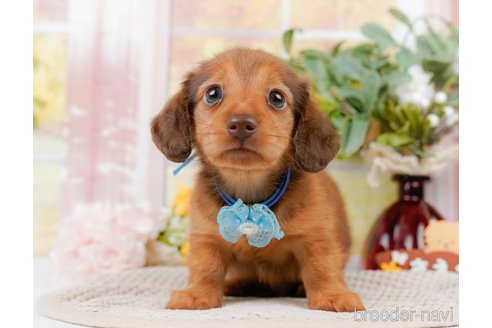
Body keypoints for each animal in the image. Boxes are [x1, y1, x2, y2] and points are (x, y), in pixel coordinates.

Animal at [152, 47, 364, 312]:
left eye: (277, 98)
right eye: (213, 93)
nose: (242, 123)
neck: (250, 196)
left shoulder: (317, 237)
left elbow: (322, 267)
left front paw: (332, 295)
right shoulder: (206, 237)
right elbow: (205, 266)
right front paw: (197, 293)